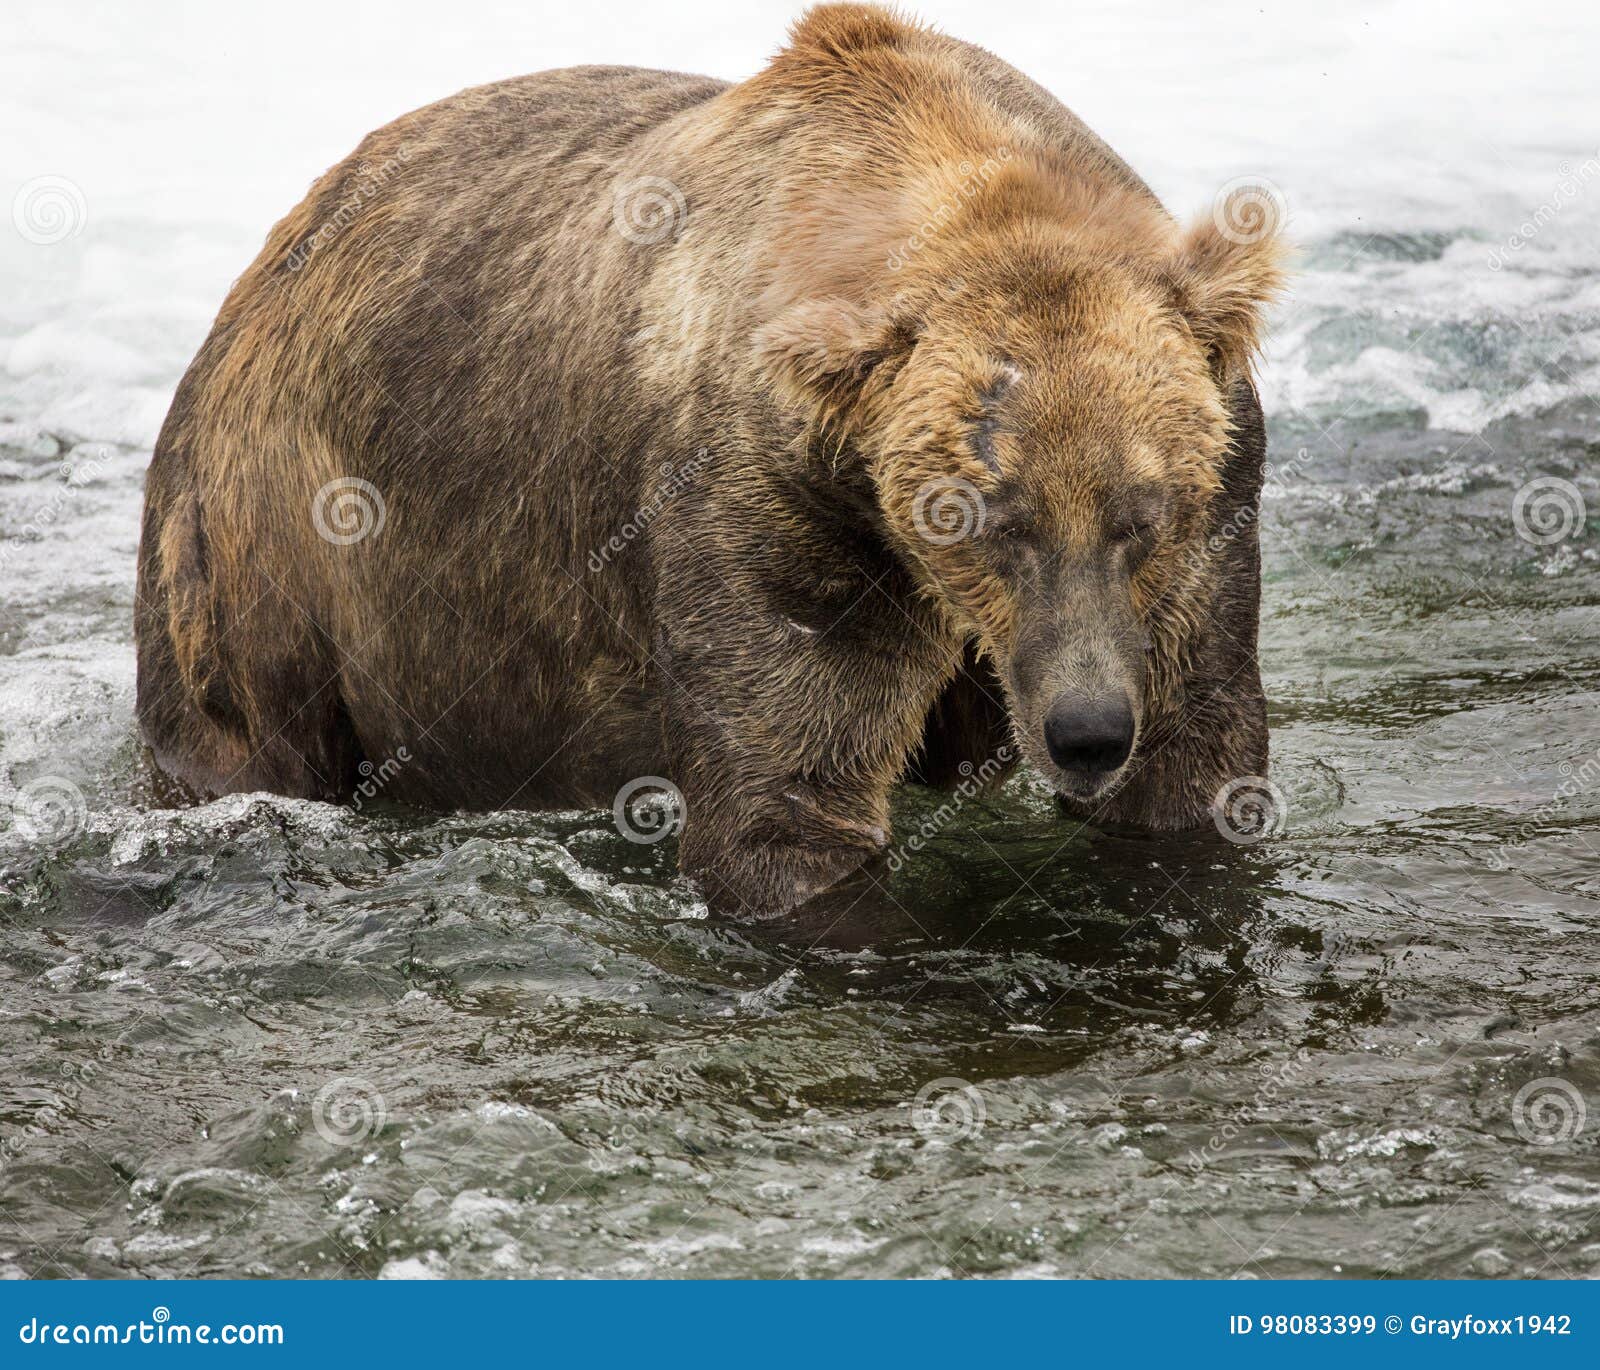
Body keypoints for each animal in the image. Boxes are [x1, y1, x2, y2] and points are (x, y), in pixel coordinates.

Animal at [134, 10, 1286, 915]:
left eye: (1145, 514)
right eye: (981, 515)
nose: (1086, 728)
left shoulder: (1213, 511)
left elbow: (1195, 753)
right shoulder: (775, 508)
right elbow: (787, 800)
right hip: (266, 534)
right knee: (241, 726)